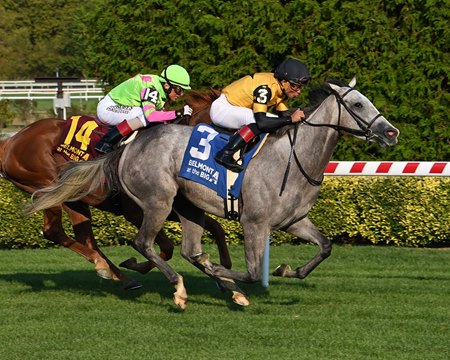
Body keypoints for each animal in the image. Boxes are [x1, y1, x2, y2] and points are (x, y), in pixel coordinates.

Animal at [0, 89, 227, 290]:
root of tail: (11, 141)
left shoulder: (172, 207)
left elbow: (216, 228)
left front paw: (223, 270)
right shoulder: (135, 212)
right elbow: (165, 247)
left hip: (75, 197)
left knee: (86, 238)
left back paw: (119, 276)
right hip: (47, 185)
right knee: (53, 231)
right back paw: (104, 266)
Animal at [27, 79, 400, 310]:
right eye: (357, 104)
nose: (390, 132)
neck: (292, 159)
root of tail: (128, 145)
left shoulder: (294, 220)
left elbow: (325, 247)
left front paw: (285, 270)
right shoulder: (255, 223)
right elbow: (252, 272)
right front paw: (226, 272)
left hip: (188, 207)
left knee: (189, 250)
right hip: (158, 201)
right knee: (145, 243)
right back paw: (179, 288)